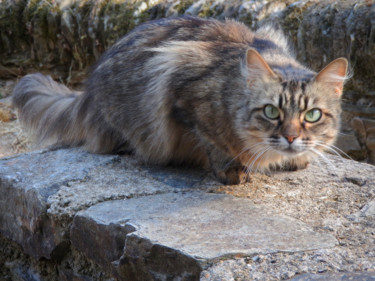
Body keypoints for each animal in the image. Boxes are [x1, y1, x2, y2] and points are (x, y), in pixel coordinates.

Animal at [13, 17, 352, 184]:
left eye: (312, 115)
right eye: (271, 112)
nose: (291, 138)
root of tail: (87, 93)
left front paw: (293, 158)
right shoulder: (178, 79)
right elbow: (214, 143)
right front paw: (231, 170)